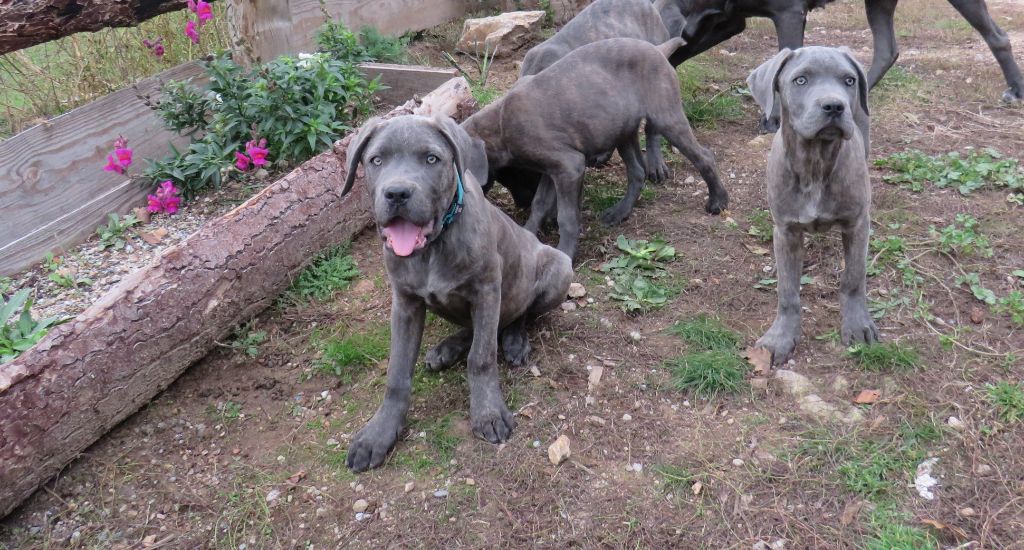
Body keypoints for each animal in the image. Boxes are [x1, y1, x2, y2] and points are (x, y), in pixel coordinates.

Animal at [339, 113, 573, 469]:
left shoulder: (488, 290)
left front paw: (488, 413)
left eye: (431, 159)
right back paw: (447, 349)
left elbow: (482, 357)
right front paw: (378, 434)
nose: (397, 193)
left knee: (515, 317)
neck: (434, 246)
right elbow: (397, 373)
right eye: (376, 160)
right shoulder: (405, 303)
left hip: (559, 268)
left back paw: (515, 341)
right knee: (477, 328)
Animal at [745, 47, 880, 364]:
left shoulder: (857, 223)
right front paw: (780, 338)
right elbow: (787, 290)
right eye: (801, 80)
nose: (834, 106)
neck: (815, 164)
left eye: (849, 80)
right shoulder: (785, 230)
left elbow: (854, 277)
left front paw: (857, 325)